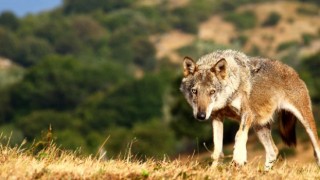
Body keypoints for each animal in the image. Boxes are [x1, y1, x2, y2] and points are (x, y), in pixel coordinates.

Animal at [180, 49, 320, 170]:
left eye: (212, 92)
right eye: (194, 91)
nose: (201, 116)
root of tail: (295, 72)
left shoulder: (247, 114)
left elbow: (239, 134)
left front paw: (239, 158)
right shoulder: (216, 117)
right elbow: (217, 150)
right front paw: (213, 170)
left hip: (305, 122)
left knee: (316, 149)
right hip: (259, 126)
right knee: (273, 151)